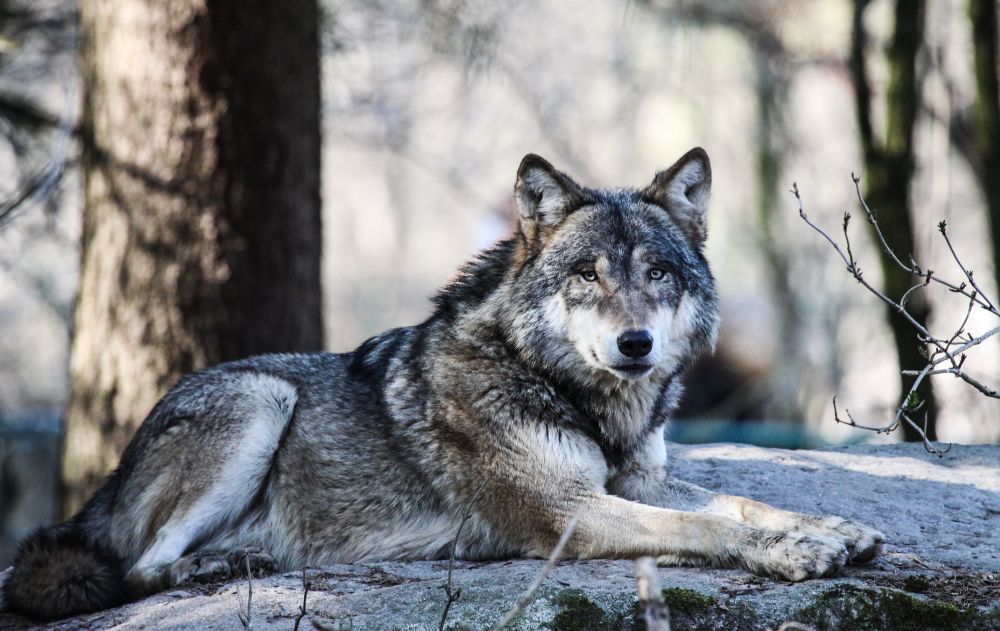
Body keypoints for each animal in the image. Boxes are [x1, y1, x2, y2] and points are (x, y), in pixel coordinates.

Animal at [5, 149, 884, 624]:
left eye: (658, 273)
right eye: (588, 273)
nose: (635, 344)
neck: (563, 388)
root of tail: (111, 474)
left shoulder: (636, 481)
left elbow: (738, 502)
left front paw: (829, 526)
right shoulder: (568, 512)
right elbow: (706, 527)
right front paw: (793, 551)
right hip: (261, 398)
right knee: (140, 566)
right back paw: (215, 568)